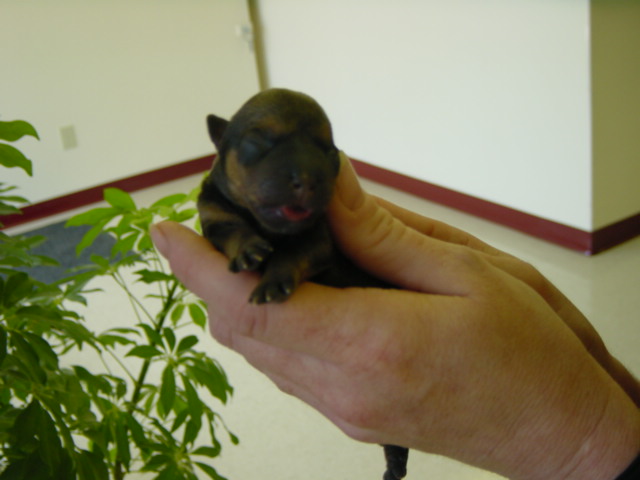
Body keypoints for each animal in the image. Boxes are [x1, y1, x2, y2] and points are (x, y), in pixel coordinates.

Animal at [197, 88, 409, 480]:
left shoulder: (317, 238)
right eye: (258, 141)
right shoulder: (214, 216)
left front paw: (273, 281)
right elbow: (232, 229)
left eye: (329, 150)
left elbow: (292, 253)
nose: (309, 181)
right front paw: (249, 250)